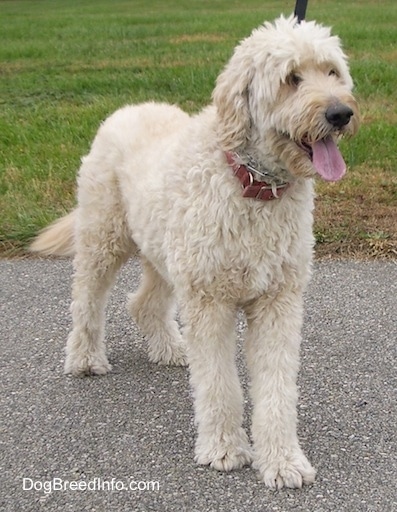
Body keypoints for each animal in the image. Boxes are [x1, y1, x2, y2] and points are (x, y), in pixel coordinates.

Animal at [31, 16, 358, 488]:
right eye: (291, 79)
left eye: (332, 72)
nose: (340, 113)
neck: (252, 185)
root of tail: (130, 107)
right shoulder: (210, 301)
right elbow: (219, 385)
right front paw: (224, 449)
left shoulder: (278, 300)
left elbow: (277, 388)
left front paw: (282, 460)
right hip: (103, 236)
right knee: (86, 300)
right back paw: (85, 358)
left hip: (166, 255)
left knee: (143, 303)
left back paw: (171, 349)